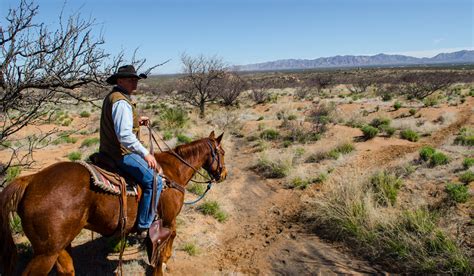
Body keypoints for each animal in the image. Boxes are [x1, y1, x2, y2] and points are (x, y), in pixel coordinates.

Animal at [0, 131, 227, 274]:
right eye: (222, 153)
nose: (223, 174)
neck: (172, 172)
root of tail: (30, 180)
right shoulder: (168, 220)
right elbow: (168, 243)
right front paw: (164, 263)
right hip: (45, 253)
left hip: (59, 246)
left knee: (67, 269)